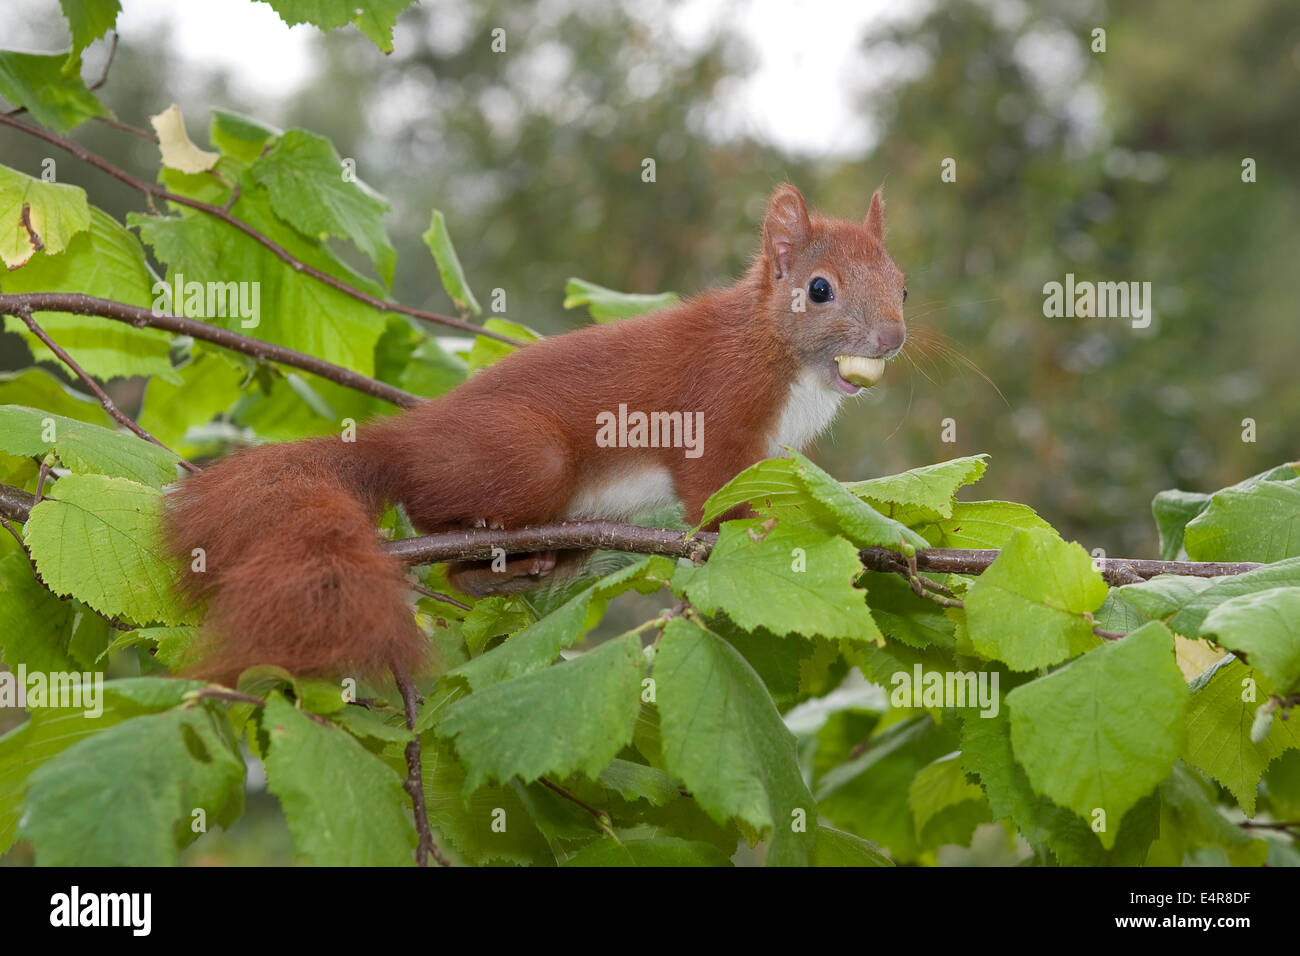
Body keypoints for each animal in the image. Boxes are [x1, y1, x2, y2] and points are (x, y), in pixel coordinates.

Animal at [162, 184, 909, 681]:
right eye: (819, 289)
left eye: (903, 285)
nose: (892, 339)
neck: (780, 354)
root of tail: (403, 438)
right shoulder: (715, 412)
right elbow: (710, 492)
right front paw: (743, 532)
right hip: (531, 460)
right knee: (442, 534)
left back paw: (526, 570)